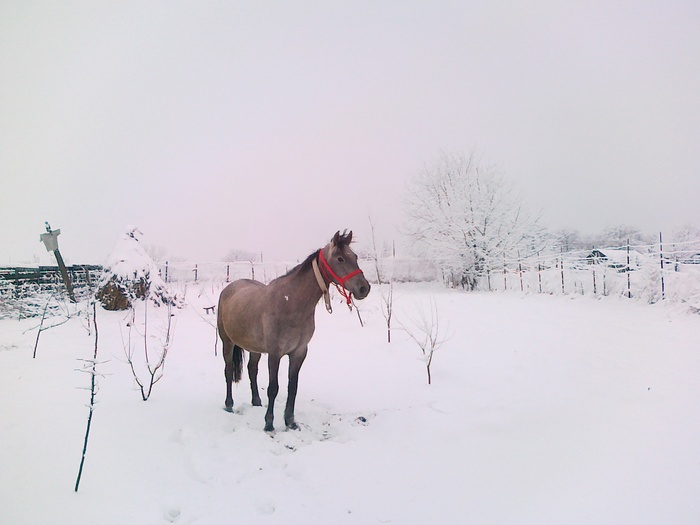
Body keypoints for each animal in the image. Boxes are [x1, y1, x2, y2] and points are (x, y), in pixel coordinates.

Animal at [217, 229, 372, 430]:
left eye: (355, 257)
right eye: (340, 259)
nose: (364, 288)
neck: (290, 302)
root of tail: (229, 288)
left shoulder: (299, 352)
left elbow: (293, 387)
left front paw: (290, 421)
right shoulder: (275, 353)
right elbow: (273, 388)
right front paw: (269, 423)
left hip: (254, 348)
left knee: (252, 369)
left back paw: (256, 401)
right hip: (227, 342)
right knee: (228, 371)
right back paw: (229, 405)